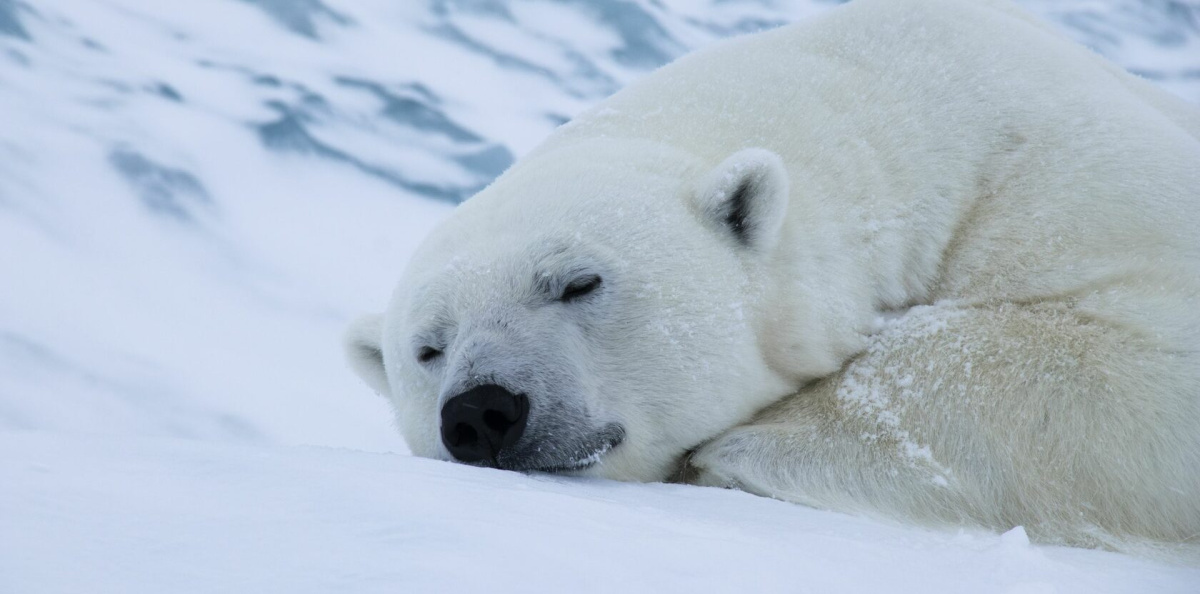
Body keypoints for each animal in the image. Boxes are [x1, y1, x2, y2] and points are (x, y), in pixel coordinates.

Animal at [344, 0, 1200, 553]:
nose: (482, 411)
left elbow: (1135, 361)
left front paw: (737, 450)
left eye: (579, 282)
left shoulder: (1068, 180)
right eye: (427, 348)